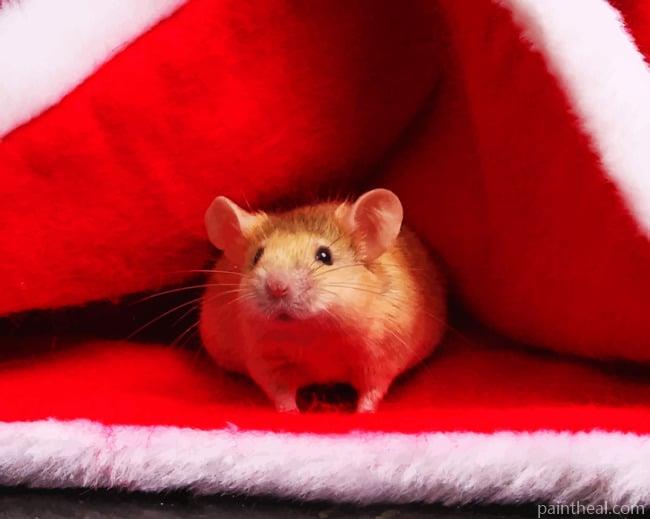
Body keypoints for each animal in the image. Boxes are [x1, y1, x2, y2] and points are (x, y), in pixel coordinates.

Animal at [200, 188, 446, 412]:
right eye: (257, 256)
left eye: (325, 255)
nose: (277, 287)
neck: (312, 334)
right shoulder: (265, 361)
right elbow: (281, 393)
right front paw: (292, 413)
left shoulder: (381, 356)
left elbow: (372, 390)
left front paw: (362, 413)